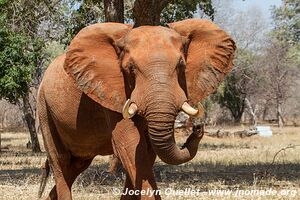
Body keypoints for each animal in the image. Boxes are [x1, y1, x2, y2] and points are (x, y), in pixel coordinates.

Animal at [37, 18, 234, 198]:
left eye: (181, 66)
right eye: (130, 68)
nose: (198, 128)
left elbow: (146, 151)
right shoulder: (113, 90)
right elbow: (130, 146)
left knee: (76, 166)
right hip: (44, 108)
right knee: (60, 163)